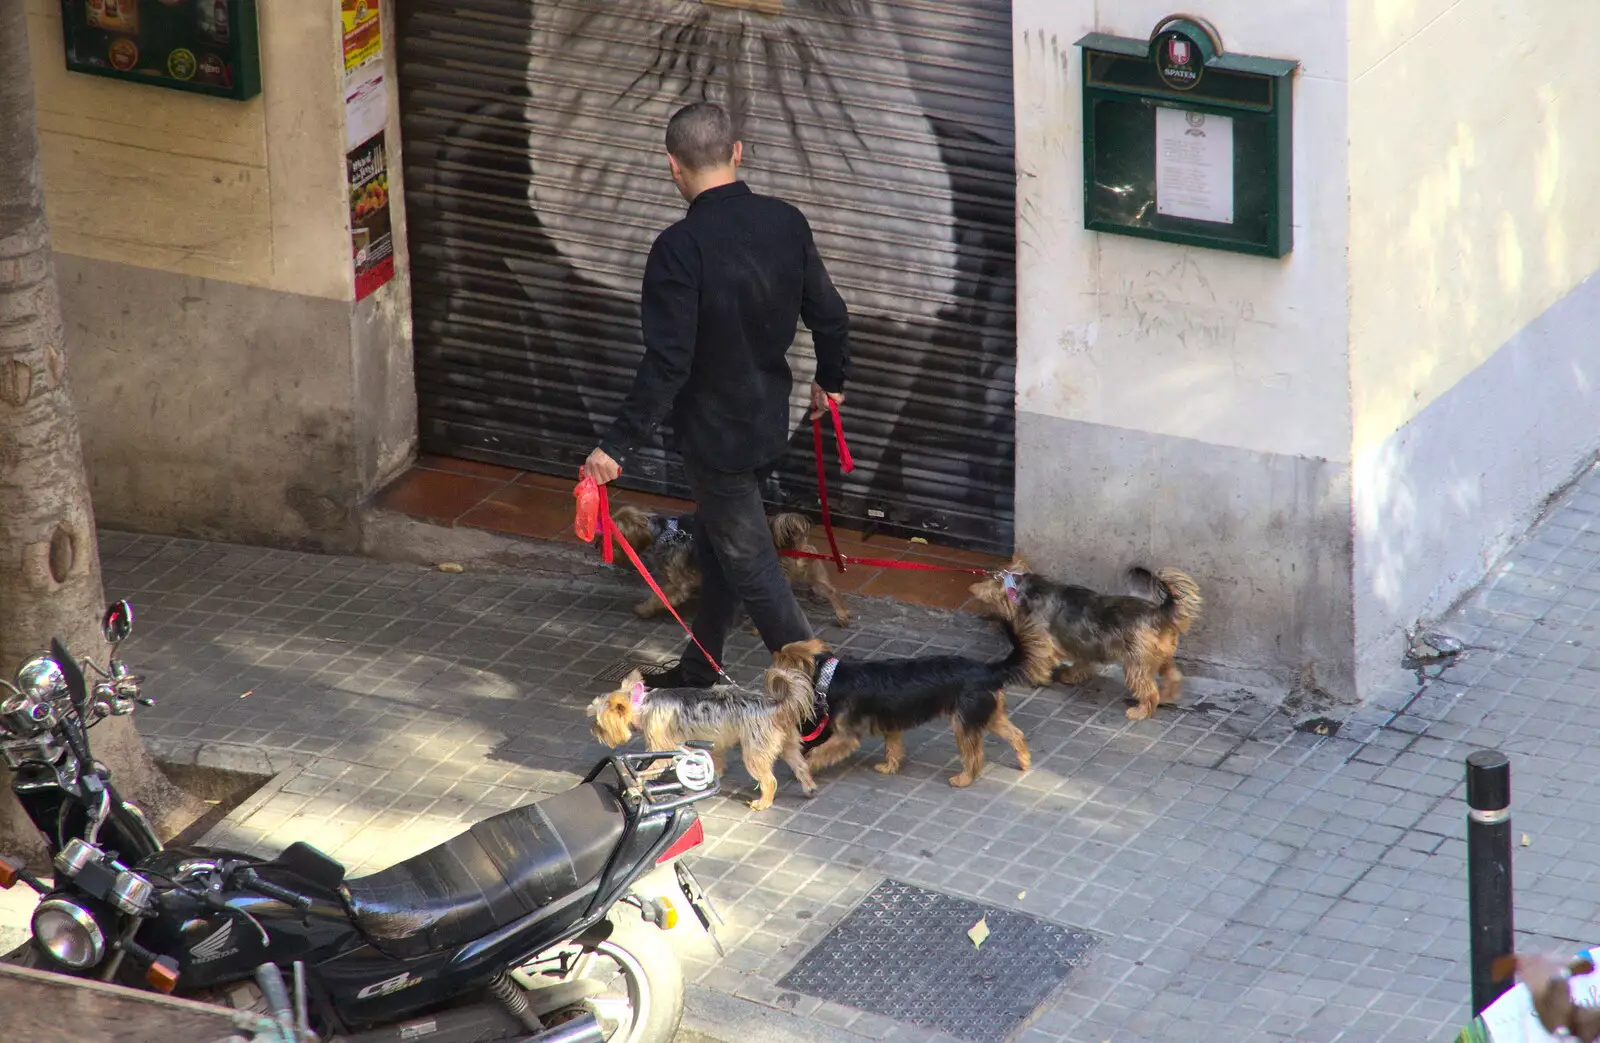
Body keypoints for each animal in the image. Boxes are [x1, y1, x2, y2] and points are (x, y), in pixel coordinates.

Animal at [585, 671, 812, 809]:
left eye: (599, 723)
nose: (593, 730)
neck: (642, 704)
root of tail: (775, 705)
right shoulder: (710, 742)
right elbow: (713, 758)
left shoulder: (660, 742)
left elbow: (655, 764)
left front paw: (640, 778)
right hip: (788, 743)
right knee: (800, 764)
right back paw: (809, 787)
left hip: (754, 750)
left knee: (769, 779)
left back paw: (763, 802)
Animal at [604, 502, 851, 623]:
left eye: (610, 539)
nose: (598, 546)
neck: (665, 532)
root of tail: (791, 543)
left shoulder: (677, 583)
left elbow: (661, 596)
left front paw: (644, 609)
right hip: (812, 571)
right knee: (829, 590)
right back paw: (841, 615)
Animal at [768, 614, 1056, 787]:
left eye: (779, 660)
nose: (769, 668)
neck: (830, 677)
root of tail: (988, 670)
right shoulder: (890, 723)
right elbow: (893, 746)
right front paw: (889, 767)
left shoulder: (846, 736)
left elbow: (819, 751)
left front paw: (806, 766)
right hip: (987, 714)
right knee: (1015, 734)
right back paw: (1024, 761)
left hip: (963, 721)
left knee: (974, 754)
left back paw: (963, 779)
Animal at [960, 556, 1203, 719]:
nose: (987, 620)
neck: (1025, 590)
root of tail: (1159, 614)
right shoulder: (1082, 645)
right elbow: (1081, 663)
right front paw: (1070, 675)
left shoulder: (1042, 642)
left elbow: (1038, 661)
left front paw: (1034, 678)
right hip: (1162, 656)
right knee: (1173, 676)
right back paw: (1168, 696)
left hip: (1136, 664)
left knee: (1148, 689)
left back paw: (1140, 711)